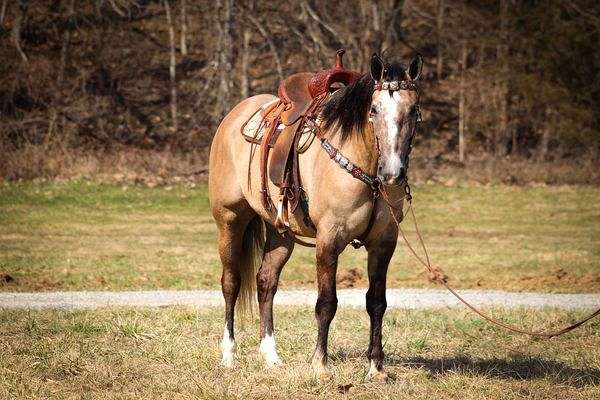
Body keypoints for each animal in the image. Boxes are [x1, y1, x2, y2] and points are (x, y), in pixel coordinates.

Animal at [209, 50, 424, 382]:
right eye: (374, 109)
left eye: (413, 109)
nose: (393, 173)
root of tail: (232, 118)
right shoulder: (329, 240)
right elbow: (326, 302)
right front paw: (320, 365)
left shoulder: (384, 243)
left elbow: (377, 303)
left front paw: (376, 368)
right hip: (230, 221)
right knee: (231, 282)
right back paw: (229, 355)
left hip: (280, 232)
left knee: (265, 282)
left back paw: (271, 356)